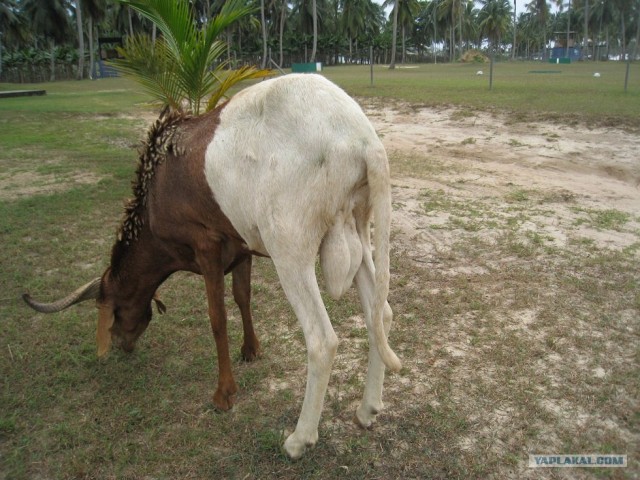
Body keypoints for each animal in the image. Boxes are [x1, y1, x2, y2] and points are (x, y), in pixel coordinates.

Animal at [23, 73, 400, 460]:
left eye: (114, 311)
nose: (120, 344)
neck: (156, 191)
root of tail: (363, 140)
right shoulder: (241, 244)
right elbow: (243, 298)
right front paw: (251, 351)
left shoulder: (205, 244)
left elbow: (217, 318)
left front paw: (224, 395)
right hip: (358, 224)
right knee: (380, 313)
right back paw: (367, 410)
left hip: (289, 246)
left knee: (322, 340)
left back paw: (300, 439)